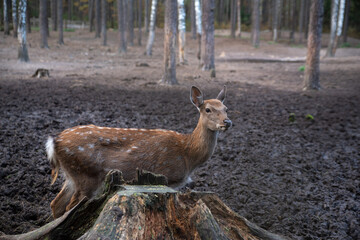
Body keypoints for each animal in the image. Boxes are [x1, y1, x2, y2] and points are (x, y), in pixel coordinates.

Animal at [46, 85, 232, 218]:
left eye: (226, 108)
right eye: (208, 109)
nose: (227, 122)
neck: (188, 155)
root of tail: (54, 142)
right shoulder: (168, 176)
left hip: (72, 176)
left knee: (56, 203)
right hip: (85, 175)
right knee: (69, 207)